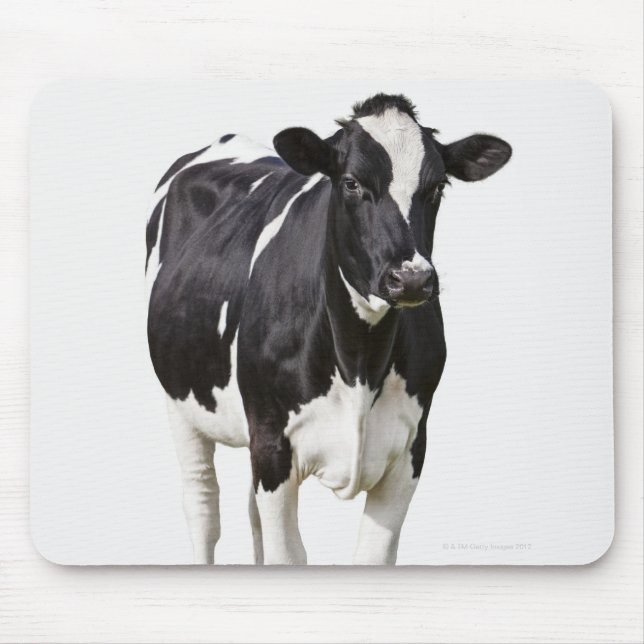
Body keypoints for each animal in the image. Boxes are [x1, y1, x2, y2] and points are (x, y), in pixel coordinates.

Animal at [146, 93, 511, 565]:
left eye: (437, 187)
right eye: (352, 183)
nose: (411, 279)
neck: (359, 360)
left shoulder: (410, 450)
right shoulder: (273, 446)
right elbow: (286, 554)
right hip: (181, 403)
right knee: (203, 507)